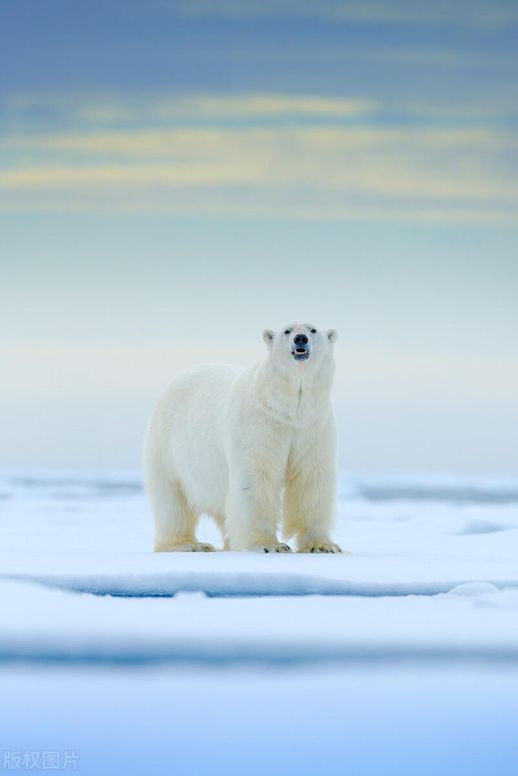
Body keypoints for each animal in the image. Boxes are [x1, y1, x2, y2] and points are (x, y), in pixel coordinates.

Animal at [144, 322, 344, 552]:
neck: (287, 407)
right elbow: (257, 476)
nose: (300, 339)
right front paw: (269, 545)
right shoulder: (260, 422)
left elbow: (311, 477)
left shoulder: (313, 425)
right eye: (287, 331)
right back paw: (189, 544)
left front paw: (323, 546)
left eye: (312, 330)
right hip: (167, 447)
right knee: (172, 500)